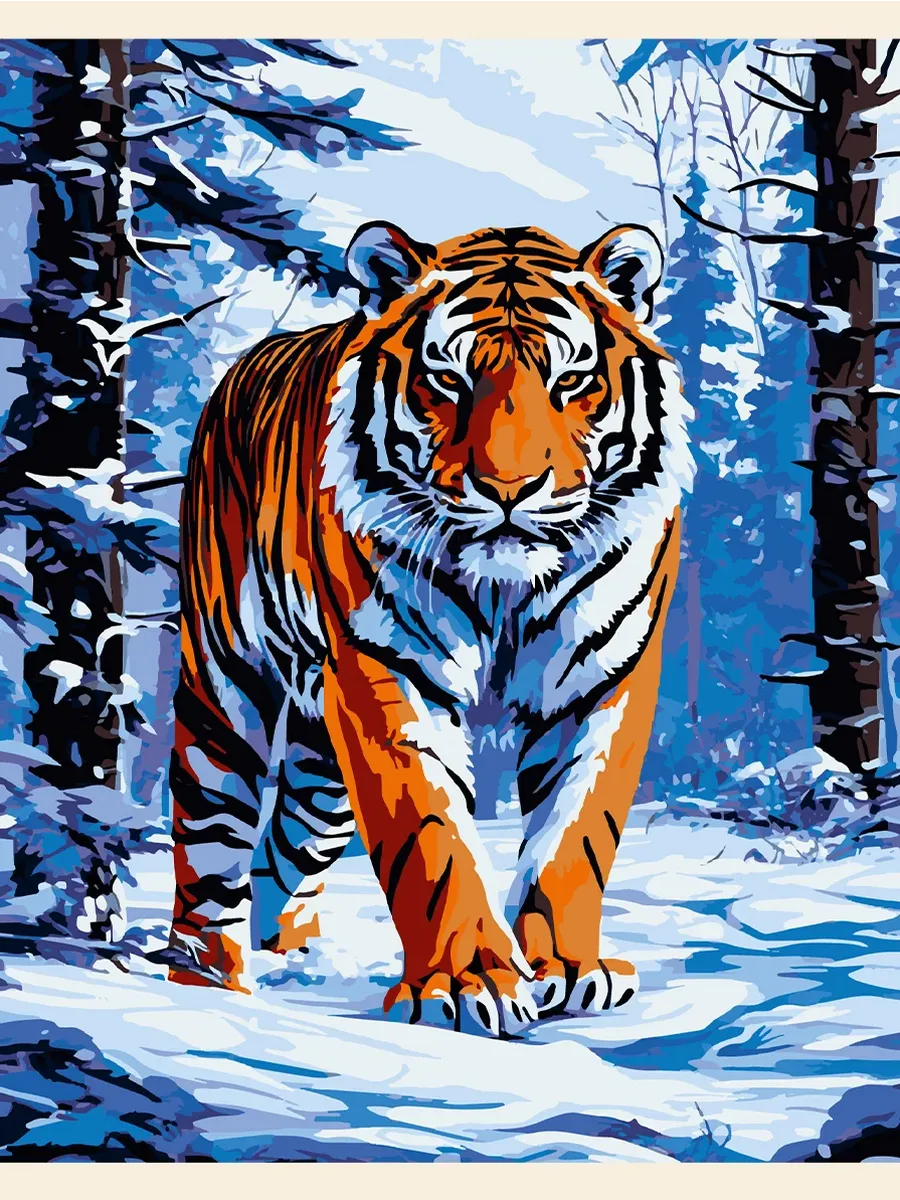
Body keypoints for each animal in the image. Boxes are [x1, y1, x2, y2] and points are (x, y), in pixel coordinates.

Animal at [166, 220, 693, 1037]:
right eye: (448, 379)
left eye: (572, 381)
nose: (510, 489)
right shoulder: (389, 672)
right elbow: (430, 833)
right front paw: (466, 982)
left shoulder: (600, 682)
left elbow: (575, 832)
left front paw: (568, 969)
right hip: (225, 685)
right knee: (210, 846)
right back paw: (208, 989)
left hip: (321, 766)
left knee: (286, 849)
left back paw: (289, 959)